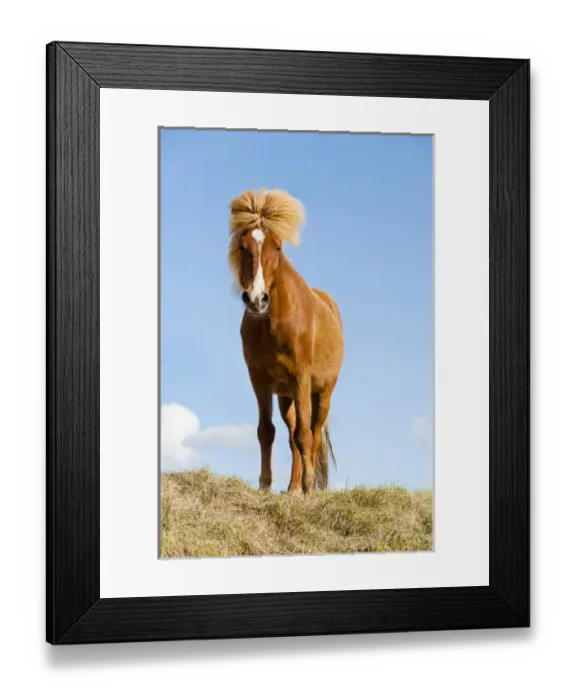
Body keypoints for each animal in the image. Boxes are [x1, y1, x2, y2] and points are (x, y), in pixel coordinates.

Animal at [227, 188, 344, 495]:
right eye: (242, 247)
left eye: (278, 247)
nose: (257, 299)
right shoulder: (259, 379)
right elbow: (266, 432)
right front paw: (265, 486)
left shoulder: (300, 376)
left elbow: (305, 435)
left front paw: (309, 489)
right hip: (286, 398)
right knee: (293, 438)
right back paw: (292, 489)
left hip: (321, 394)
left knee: (313, 434)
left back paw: (305, 488)